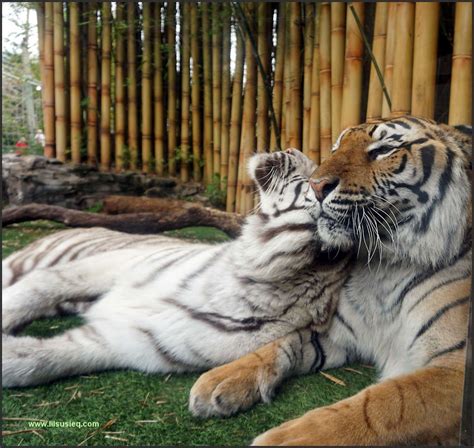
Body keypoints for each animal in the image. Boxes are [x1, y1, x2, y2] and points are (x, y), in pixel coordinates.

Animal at [2, 150, 352, 388]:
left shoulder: (127, 341)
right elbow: (44, 285)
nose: (291, 148)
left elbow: (45, 358)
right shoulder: (117, 263)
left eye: (309, 178)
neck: (250, 278)